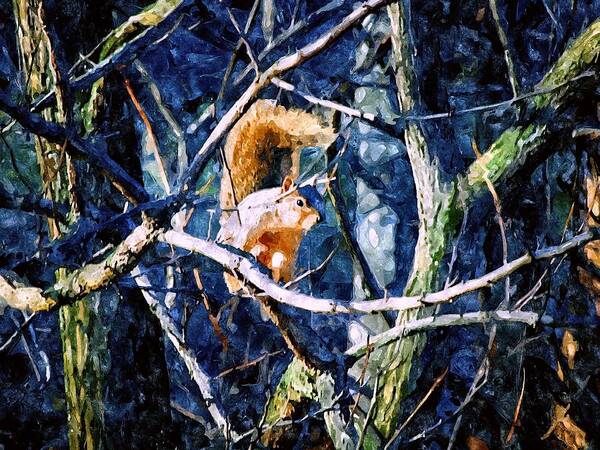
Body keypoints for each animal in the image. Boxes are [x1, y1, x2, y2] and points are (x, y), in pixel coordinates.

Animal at [217, 99, 338, 292]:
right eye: (299, 202)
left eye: (322, 202)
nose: (320, 219)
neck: (282, 224)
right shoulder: (252, 221)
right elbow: (241, 245)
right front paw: (247, 256)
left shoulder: (290, 243)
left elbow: (285, 261)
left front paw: (288, 281)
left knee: (277, 259)